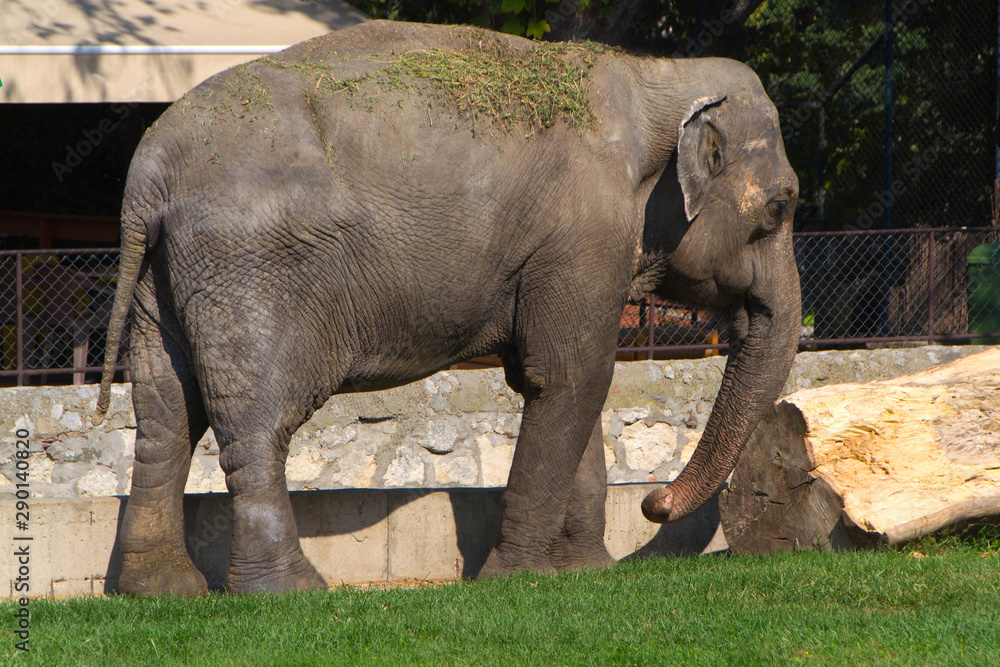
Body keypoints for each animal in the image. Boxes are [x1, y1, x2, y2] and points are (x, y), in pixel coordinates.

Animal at [93, 20, 800, 595]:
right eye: (780, 207)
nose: (654, 500)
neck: (658, 75)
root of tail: (147, 172)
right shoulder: (582, 237)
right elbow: (571, 377)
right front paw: (513, 581)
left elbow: (564, 384)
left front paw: (581, 576)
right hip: (247, 270)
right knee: (256, 422)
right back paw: (290, 592)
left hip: (165, 277)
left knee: (165, 415)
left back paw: (159, 593)